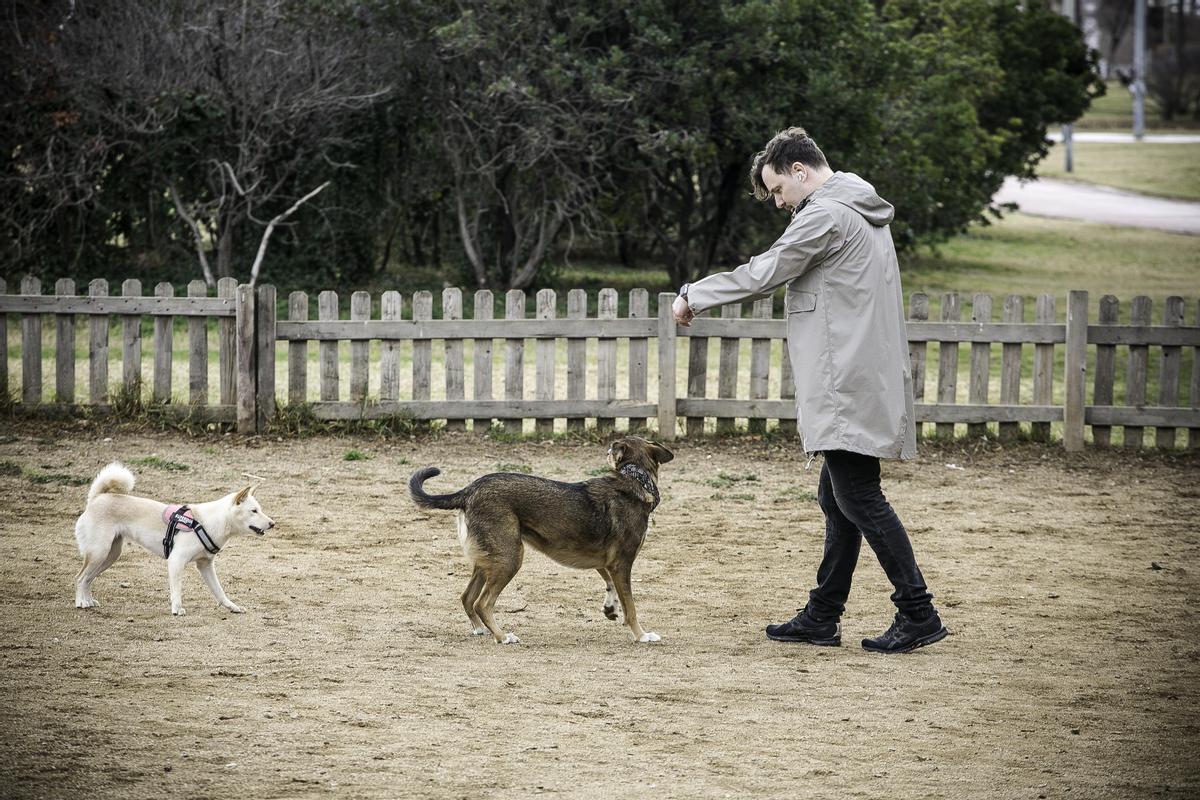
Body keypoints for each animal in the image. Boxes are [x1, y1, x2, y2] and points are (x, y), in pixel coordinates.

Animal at [76, 460, 277, 618]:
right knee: (80, 577)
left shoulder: (205, 565)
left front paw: (232, 607)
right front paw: (177, 609)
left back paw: (89, 601)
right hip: (99, 553)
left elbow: (219, 591)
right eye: (254, 511)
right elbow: (177, 589)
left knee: (88, 579)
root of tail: (97, 498)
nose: (273, 523)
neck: (210, 521)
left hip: (110, 555)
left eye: (259, 509)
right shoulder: (176, 561)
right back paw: (81, 603)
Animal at [410, 438, 676, 642]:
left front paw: (610, 608)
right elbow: (631, 608)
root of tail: (468, 491)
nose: (607, 449)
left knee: (467, 598)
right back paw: (502, 636)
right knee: (482, 604)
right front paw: (641, 635)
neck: (636, 479)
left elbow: (610, 586)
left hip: (489, 560)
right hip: (510, 559)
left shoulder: (604, 562)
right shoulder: (622, 564)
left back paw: (481, 630)